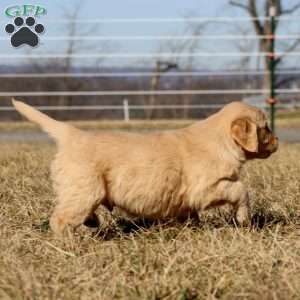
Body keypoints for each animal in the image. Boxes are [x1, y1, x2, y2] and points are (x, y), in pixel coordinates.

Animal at [12, 99, 278, 236]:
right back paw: (68, 243)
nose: (278, 141)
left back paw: (92, 222)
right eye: (266, 128)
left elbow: (188, 214)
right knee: (60, 219)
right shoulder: (205, 188)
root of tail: (71, 134)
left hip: (82, 190)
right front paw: (244, 219)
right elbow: (241, 190)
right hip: (84, 189)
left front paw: (189, 228)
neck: (221, 139)